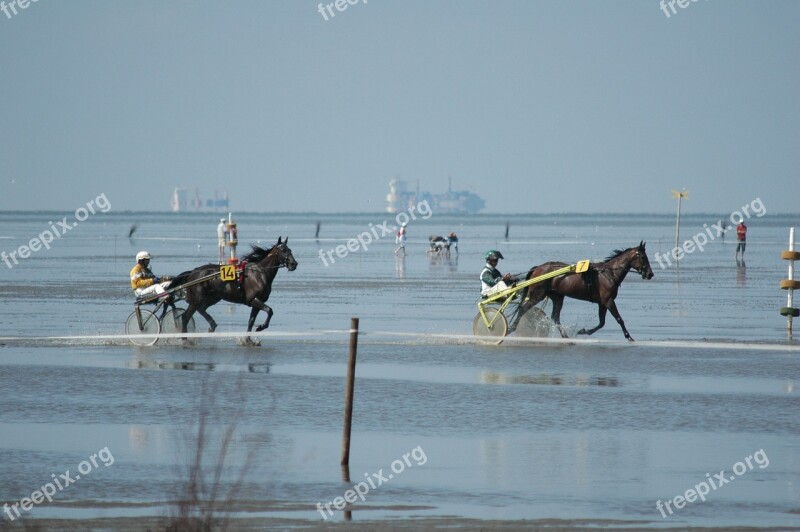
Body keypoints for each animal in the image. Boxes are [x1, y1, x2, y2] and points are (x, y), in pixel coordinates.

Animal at [516, 243, 652, 342]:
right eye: (643, 257)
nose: (650, 274)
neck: (609, 274)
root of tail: (538, 267)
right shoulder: (608, 301)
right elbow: (619, 319)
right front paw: (629, 336)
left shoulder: (602, 303)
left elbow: (601, 323)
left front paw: (583, 331)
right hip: (538, 294)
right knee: (523, 309)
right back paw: (512, 327)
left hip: (557, 297)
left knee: (555, 317)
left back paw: (565, 336)